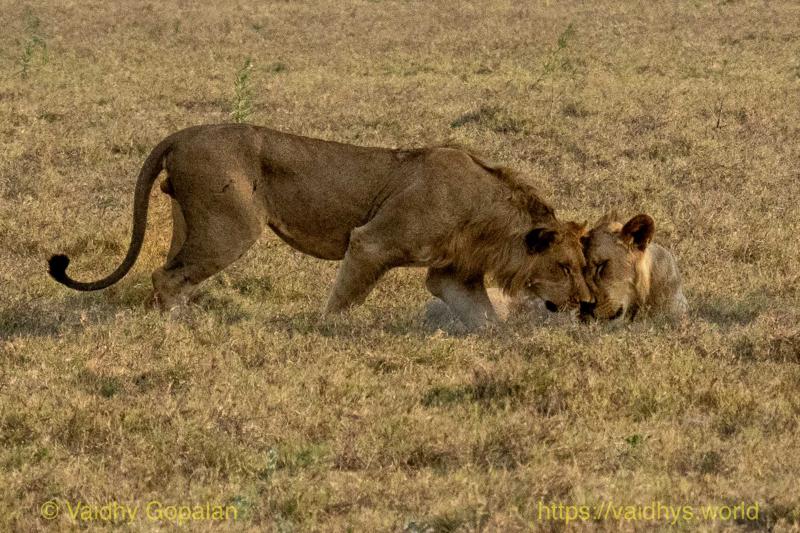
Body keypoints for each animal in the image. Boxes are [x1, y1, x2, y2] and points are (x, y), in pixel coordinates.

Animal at [48, 124, 591, 329]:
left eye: (585, 267)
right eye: (564, 267)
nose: (587, 304)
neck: (489, 218)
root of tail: (183, 134)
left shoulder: (450, 273)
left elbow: (483, 315)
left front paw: (502, 337)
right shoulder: (371, 243)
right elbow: (345, 297)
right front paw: (325, 329)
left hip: (192, 226)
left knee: (166, 273)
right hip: (231, 228)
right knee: (166, 277)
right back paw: (182, 326)